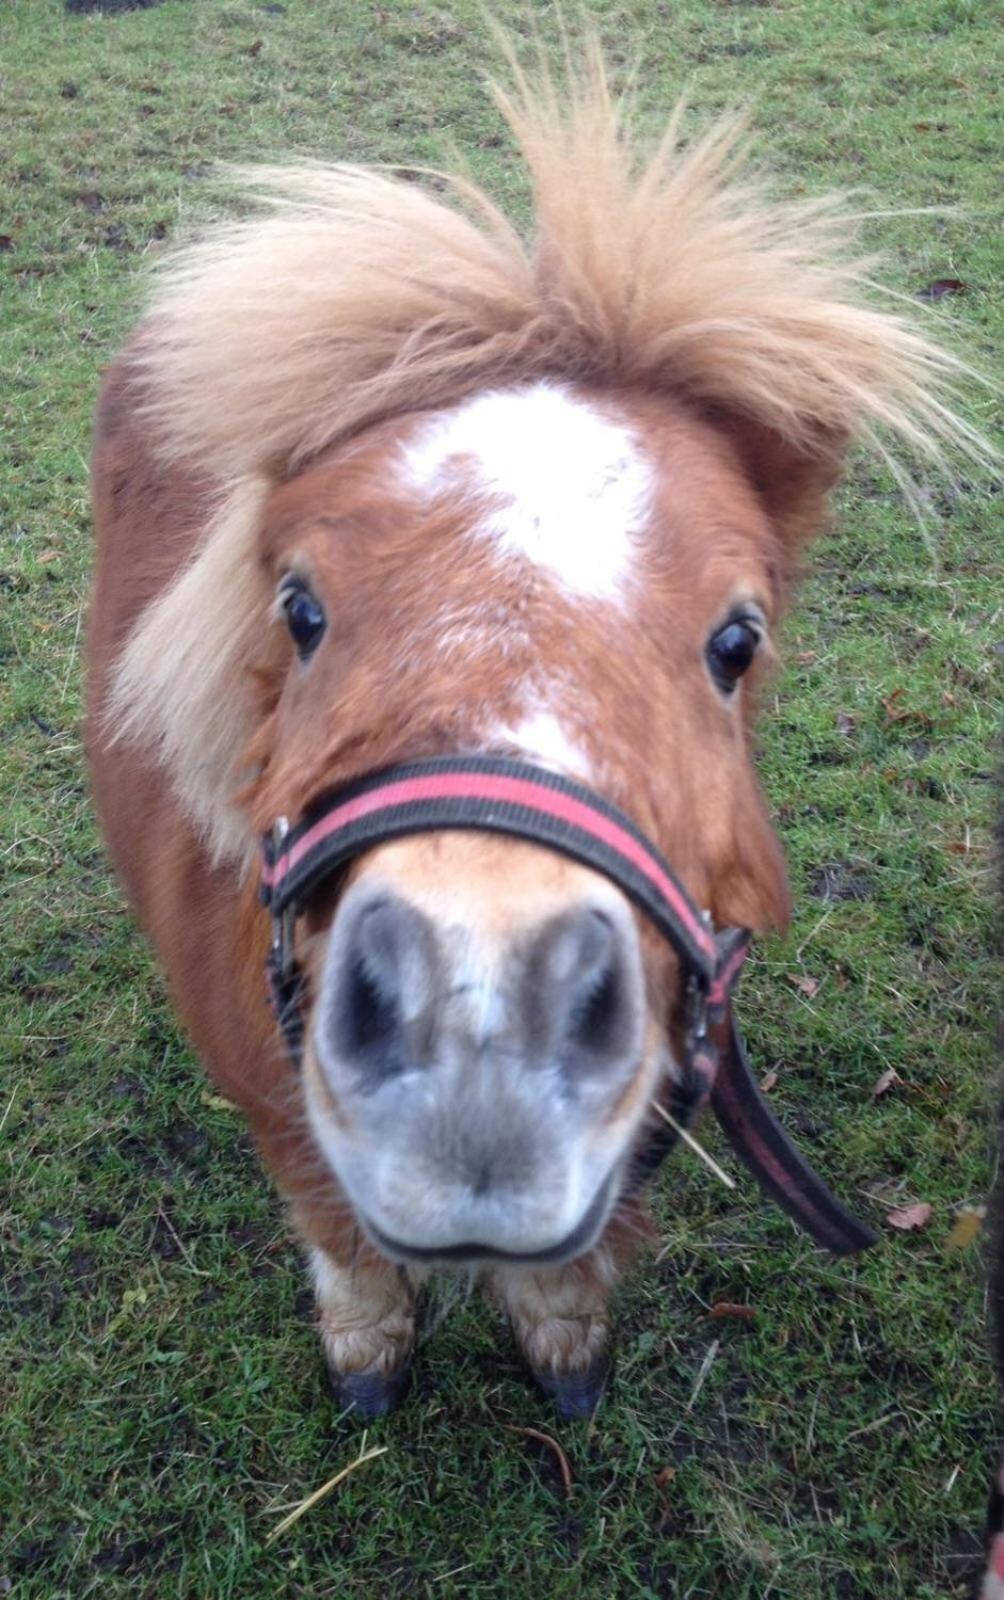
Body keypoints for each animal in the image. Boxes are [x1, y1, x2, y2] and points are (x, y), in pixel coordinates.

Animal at [88, 37, 991, 1420]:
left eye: (736, 641)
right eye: (299, 607)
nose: (477, 1035)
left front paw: (565, 1341)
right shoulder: (273, 1106)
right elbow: (338, 1234)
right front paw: (367, 1347)